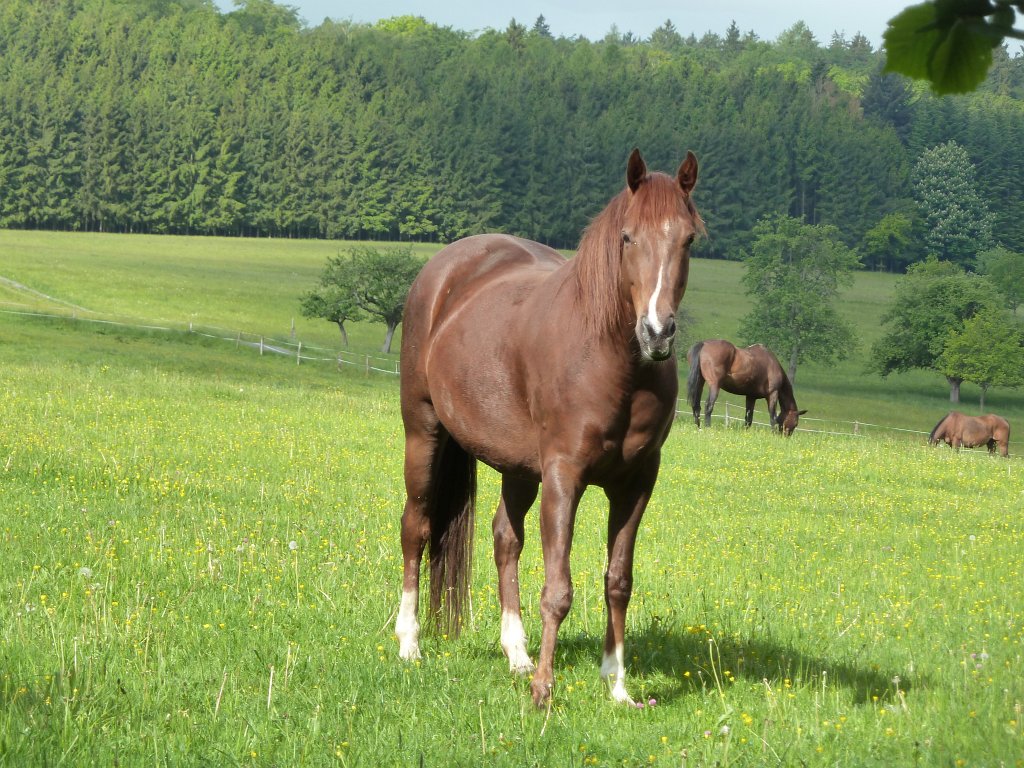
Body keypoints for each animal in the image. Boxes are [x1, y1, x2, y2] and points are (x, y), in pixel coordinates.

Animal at [395, 149, 703, 707]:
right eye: (628, 237)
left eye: (688, 239)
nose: (657, 331)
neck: (610, 358)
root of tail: (445, 269)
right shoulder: (564, 475)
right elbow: (558, 589)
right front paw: (544, 688)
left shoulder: (637, 484)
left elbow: (618, 581)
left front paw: (617, 684)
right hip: (423, 430)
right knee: (417, 527)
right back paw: (410, 643)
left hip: (519, 467)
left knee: (504, 539)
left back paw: (515, 654)